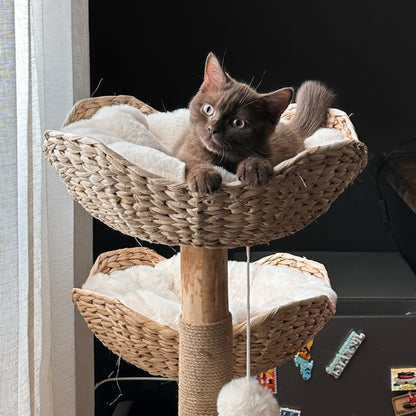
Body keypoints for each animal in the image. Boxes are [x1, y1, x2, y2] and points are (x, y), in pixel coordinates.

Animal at [173, 52, 334, 193]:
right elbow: (191, 160)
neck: (224, 159)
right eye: (208, 109)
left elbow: (261, 157)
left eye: (238, 123)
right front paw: (203, 175)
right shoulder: (184, 150)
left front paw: (253, 167)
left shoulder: (270, 154)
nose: (212, 128)